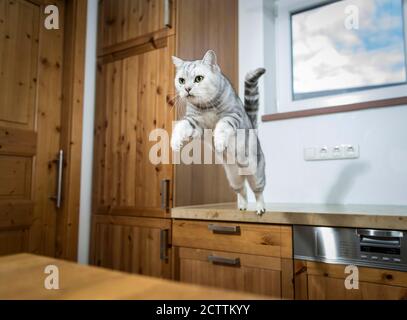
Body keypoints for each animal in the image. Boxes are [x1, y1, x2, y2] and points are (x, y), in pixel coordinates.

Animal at [170, 50, 268, 215]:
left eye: (198, 78)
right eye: (181, 80)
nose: (187, 89)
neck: (206, 106)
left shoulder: (232, 115)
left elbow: (222, 126)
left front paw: (219, 141)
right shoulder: (195, 123)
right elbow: (180, 126)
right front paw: (175, 142)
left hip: (255, 173)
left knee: (258, 191)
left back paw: (260, 208)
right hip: (233, 177)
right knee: (242, 190)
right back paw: (242, 206)